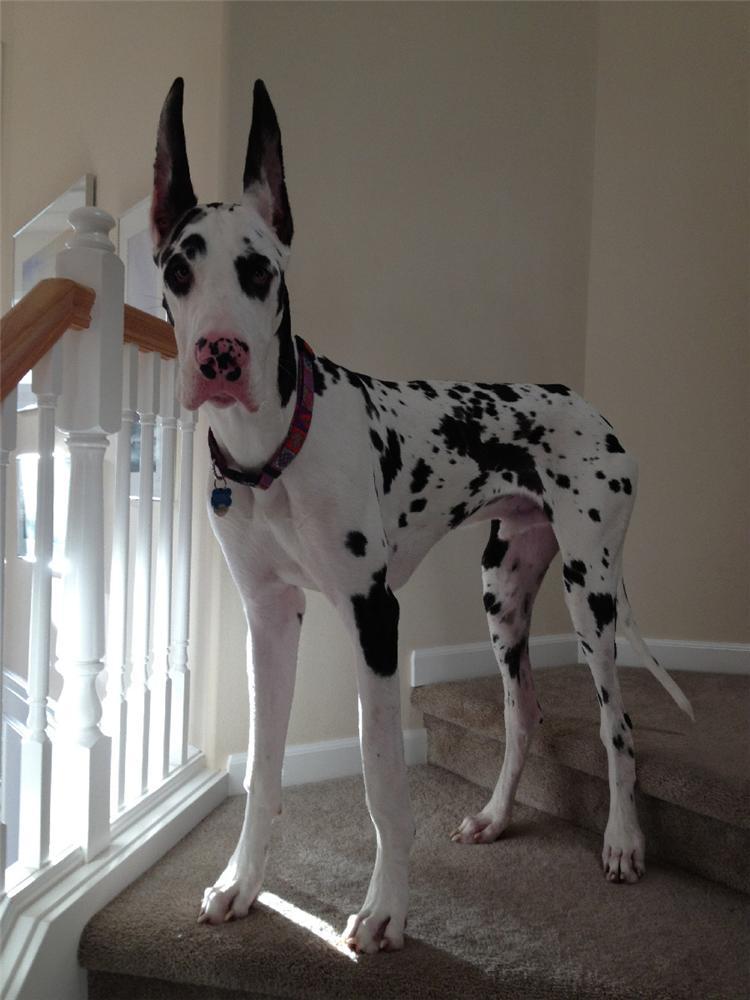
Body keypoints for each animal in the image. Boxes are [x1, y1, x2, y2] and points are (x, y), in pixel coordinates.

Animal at [151, 78, 692, 952]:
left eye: (259, 270)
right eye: (176, 268)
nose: (220, 357)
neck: (277, 452)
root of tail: (591, 409)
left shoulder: (374, 618)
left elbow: (382, 783)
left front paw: (386, 910)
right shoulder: (268, 619)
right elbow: (262, 770)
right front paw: (242, 882)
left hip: (591, 590)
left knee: (618, 723)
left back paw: (622, 841)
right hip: (504, 589)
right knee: (523, 713)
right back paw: (497, 817)